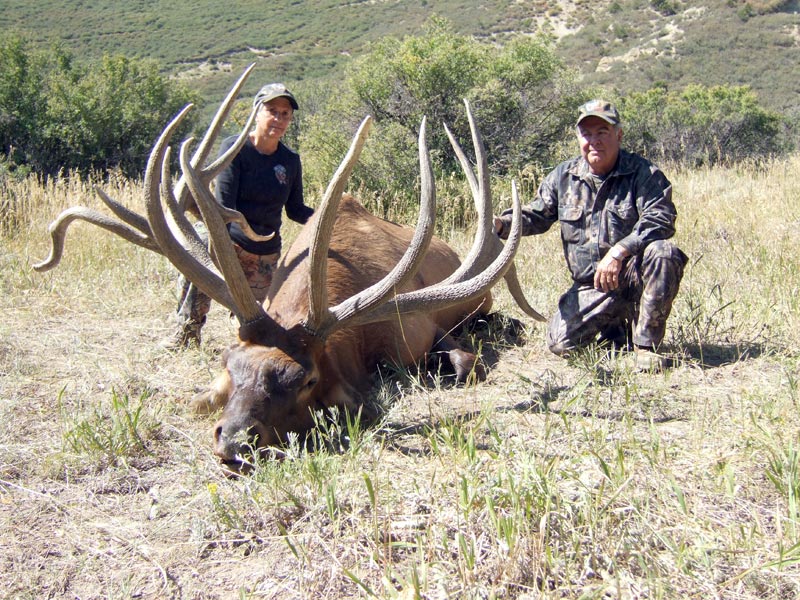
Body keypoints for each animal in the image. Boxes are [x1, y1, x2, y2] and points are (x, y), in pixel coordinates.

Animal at [32, 63, 544, 472]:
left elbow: (465, 365)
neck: (357, 344)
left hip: (480, 299)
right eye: (229, 364)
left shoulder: (419, 331)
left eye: (306, 380)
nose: (235, 442)